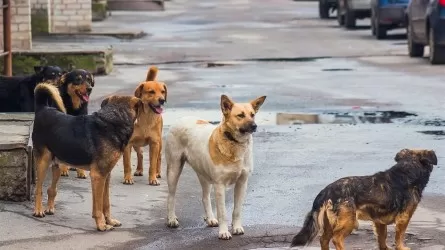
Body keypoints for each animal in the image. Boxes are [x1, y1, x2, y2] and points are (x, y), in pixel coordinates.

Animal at [31, 83, 140, 231]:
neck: (113, 120)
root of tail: (43, 108)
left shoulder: (106, 175)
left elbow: (106, 203)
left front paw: (109, 221)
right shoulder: (98, 176)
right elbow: (98, 206)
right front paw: (101, 225)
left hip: (57, 164)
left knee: (51, 189)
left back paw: (50, 208)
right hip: (43, 161)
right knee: (38, 189)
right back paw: (38, 210)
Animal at [165, 94, 266, 240]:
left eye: (252, 115)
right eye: (240, 115)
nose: (254, 126)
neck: (234, 143)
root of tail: (181, 118)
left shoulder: (242, 183)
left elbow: (237, 210)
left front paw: (236, 227)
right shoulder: (220, 185)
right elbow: (223, 213)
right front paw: (223, 232)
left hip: (204, 175)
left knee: (205, 197)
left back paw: (210, 218)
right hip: (174, 169)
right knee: (171, 196)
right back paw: (171, 219)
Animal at [288, 148, 438, 250]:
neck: (407, 170)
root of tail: (326, 191)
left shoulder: (379, 221)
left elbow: (382, 237)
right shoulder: (404, 217)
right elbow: (399, 235)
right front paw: (401, 247)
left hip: (330, 222)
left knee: (324, 239)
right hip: (350, 221)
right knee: (336, 239)